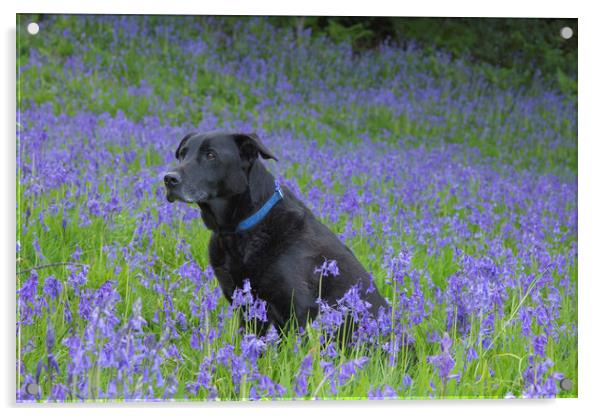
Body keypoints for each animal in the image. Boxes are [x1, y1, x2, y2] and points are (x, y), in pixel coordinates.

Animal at [164, 132, 386, 334]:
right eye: (182, 154)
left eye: (211, 155)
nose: (168, 178)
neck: (237, 231)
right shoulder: (245, 305)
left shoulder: (297, 307)